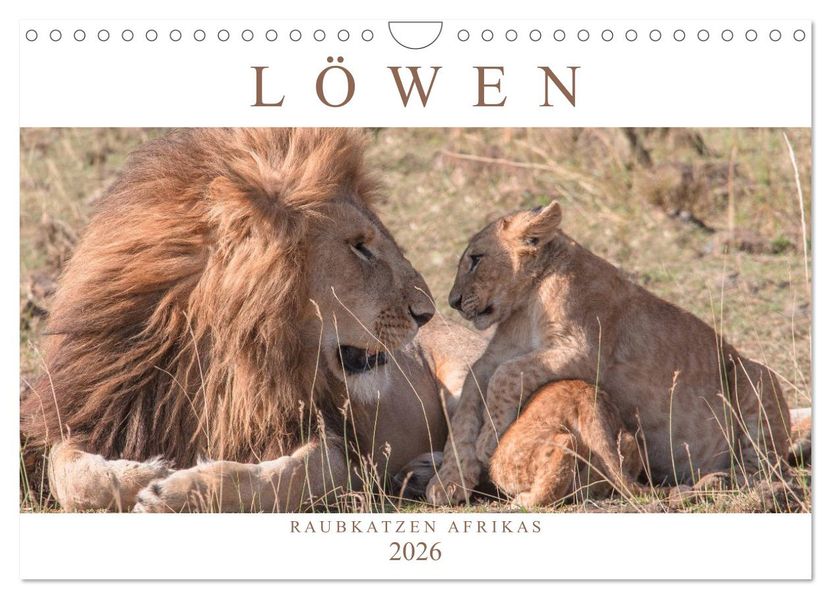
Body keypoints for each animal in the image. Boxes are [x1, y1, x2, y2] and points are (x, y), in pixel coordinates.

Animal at [20, 128, 484, 512]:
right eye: (359, 246)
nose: (427, 312)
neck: (218, 354)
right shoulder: (96, 410)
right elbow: (71, 474)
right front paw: (147, 472)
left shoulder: (336, 446)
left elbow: (278, 478)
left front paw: (175, 489)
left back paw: (431, 475)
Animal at [426, 200, 791, 506]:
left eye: (475, 259)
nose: (453, 302)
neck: (526, 301)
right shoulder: (496, 356)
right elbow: (467, 404)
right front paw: (448, 482)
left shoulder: (584, 350)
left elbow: (506, 375)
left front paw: (488, 440)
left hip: (754, 374)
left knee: (768, 467)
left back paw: (731, 481)